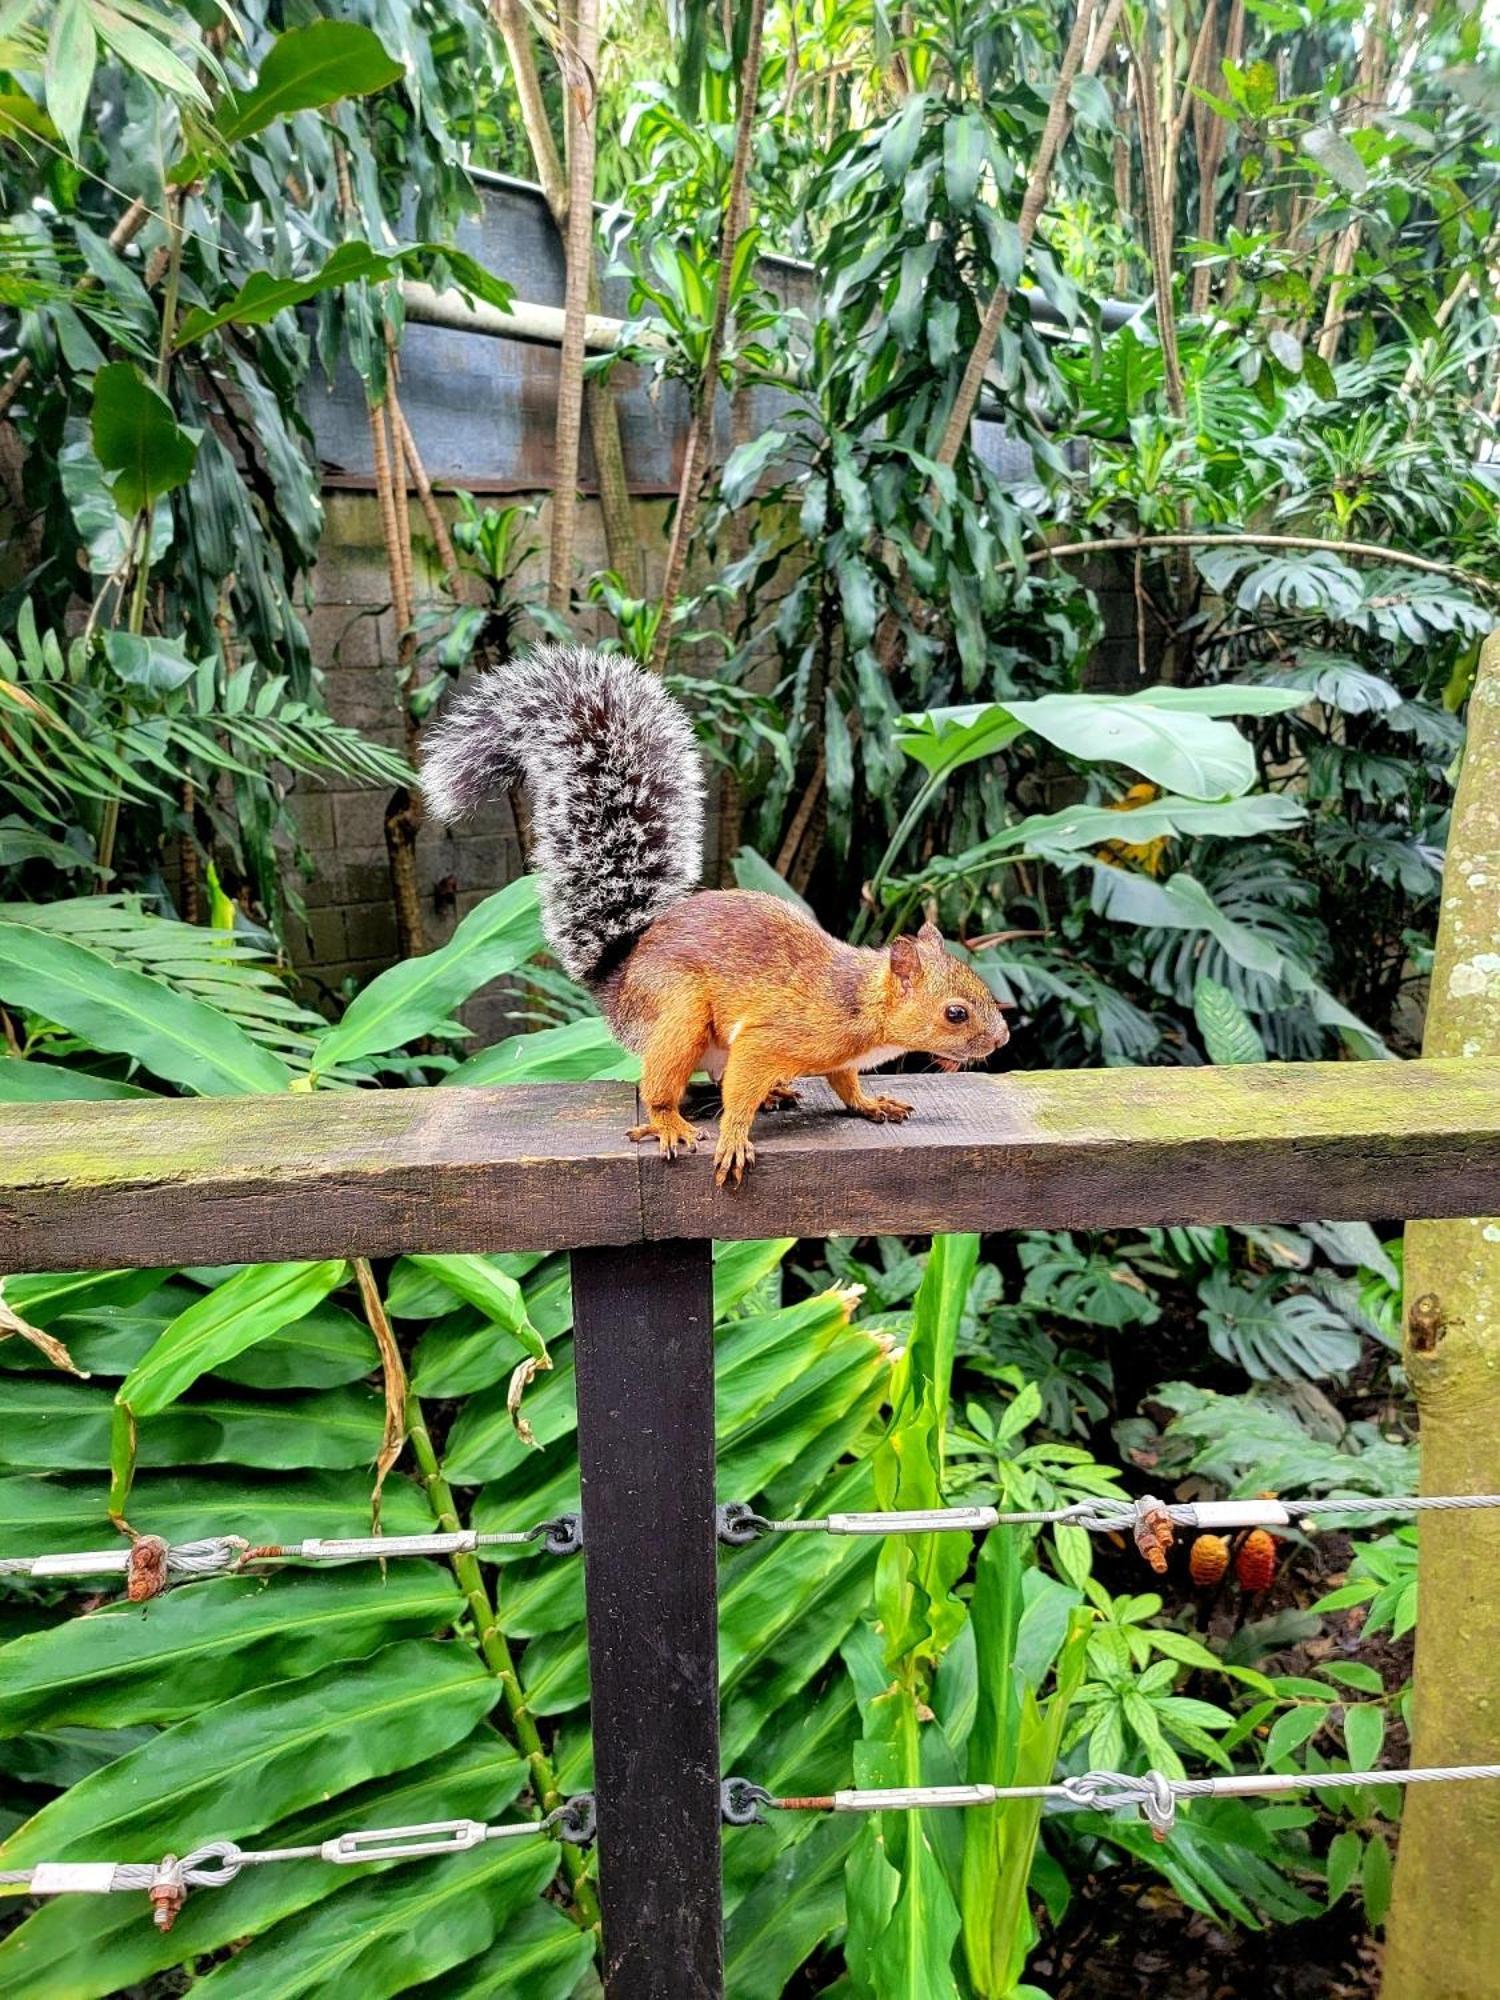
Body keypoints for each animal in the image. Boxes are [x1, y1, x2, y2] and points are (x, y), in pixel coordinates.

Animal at [424, 640, 1012, 1176]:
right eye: (955, 1013)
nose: (1003, 1038)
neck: (858, 1002)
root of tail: (621, 976)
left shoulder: (838, 1058)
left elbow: (845, 1084)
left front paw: (870, 1103)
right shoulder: (773, 1035)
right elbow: (743, 1088)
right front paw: (734, 1137)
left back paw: (775, 1095)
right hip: (680, 1013)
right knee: (664, 1084)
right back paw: (669, 1122)